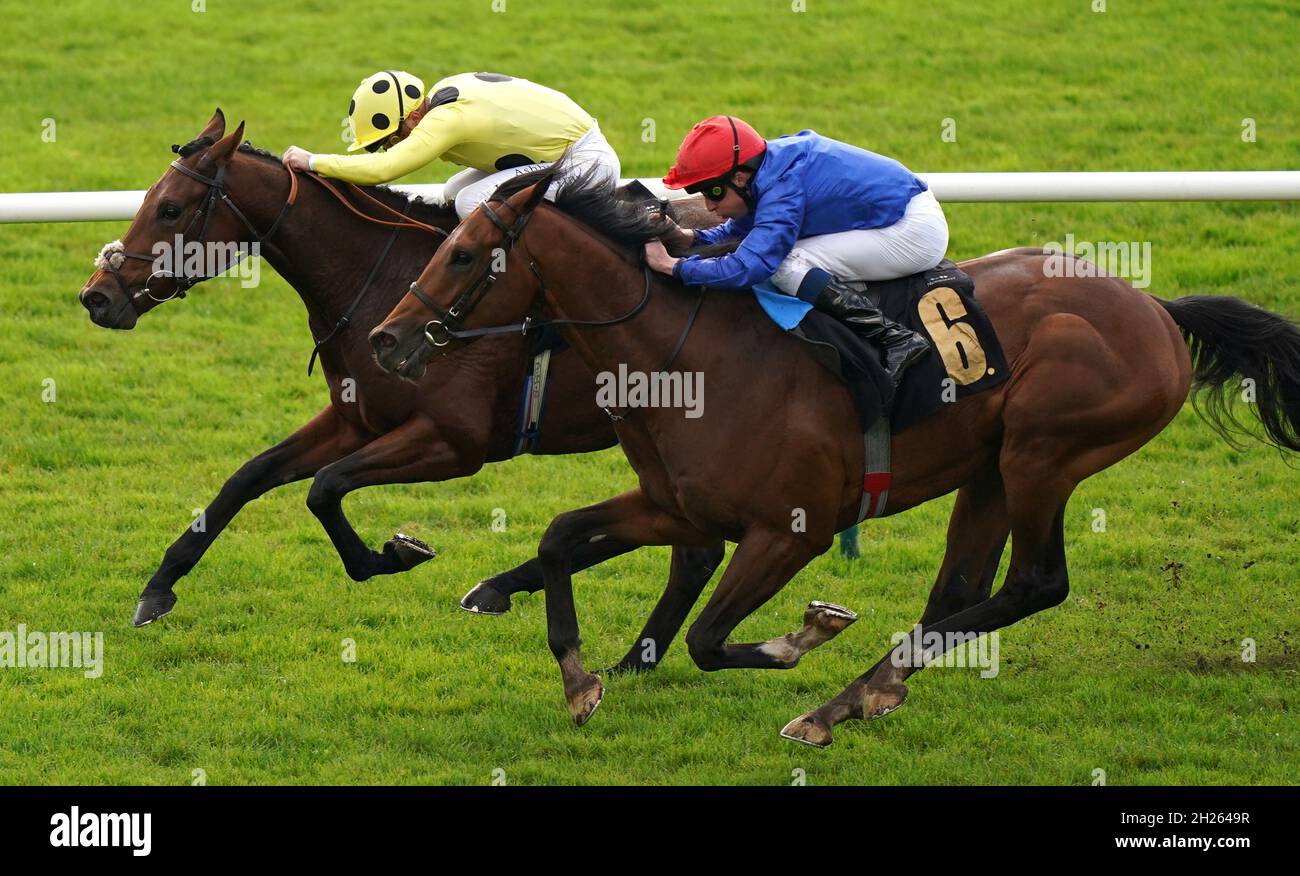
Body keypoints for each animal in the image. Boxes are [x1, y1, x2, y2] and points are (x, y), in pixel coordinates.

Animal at [76, 109, 728, 670]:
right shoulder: (355, 419)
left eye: (170, 209)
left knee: (692, 543)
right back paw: (611, 649)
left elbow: (324, 487)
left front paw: (392, 553)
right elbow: (249, 476)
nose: (97, 297)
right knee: (693, 546)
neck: (377, 280)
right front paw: (158, 588)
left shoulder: (455, 442)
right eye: (147, 199)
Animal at [366, 167, 1300, 748]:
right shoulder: (679, 503)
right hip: (992, 468)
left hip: (1047, 451)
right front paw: (577, 678)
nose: (385, 340)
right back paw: (859, 697)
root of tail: (1155, 308)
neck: (685, 355)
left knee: (1036, 584)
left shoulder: (792, 529)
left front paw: (800, 637)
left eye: (459, 254)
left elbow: (709, 638)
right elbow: (562, 536)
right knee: (961, 589)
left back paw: (837, 699)